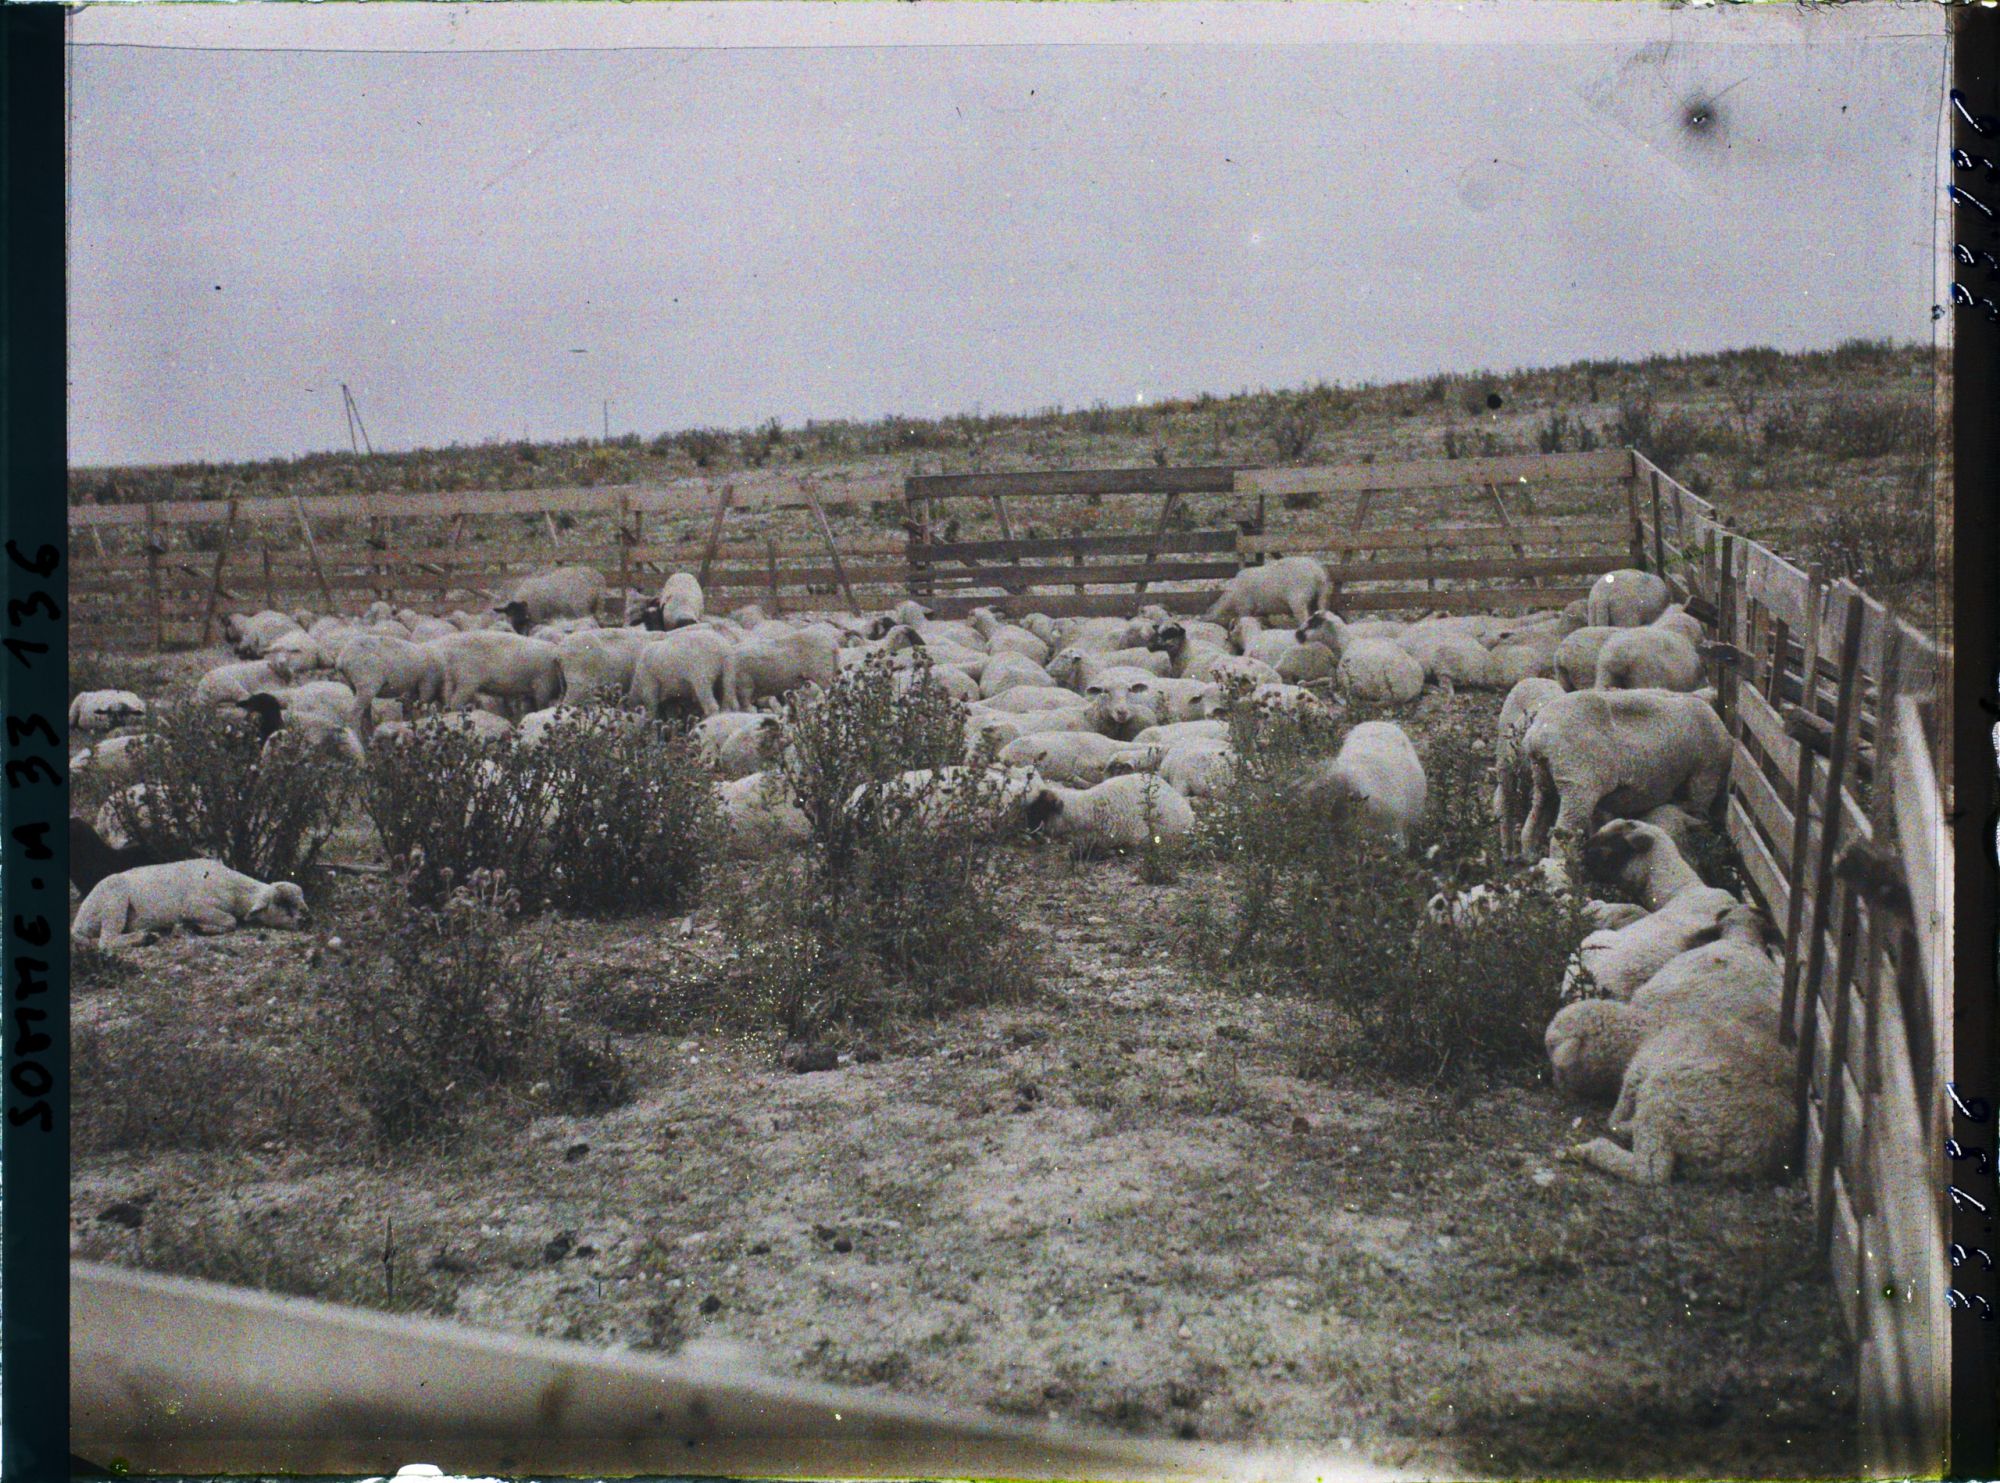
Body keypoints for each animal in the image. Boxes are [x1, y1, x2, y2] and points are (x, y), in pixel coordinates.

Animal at [71, 859, 308, 950]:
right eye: (283, 905)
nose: (307, 920)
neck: (233, 888)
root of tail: (78, 923)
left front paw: (188, 928)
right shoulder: (195, 907)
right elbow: (231, 921)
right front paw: (196, 927)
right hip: (114, 897)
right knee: (107, 940)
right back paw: (145, 937)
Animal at [1295, 612, 1425, 706]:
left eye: (1314, 623)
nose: (1297, 634)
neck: (1346, 643)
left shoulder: (1343, 678)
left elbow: (1332, 684)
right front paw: (1304, 683)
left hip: (1386, 687)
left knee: (1386, 700)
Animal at [1519, 689, 1732, 861]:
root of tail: (1537, 735)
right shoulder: (1705, 774)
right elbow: (1698, 811)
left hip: (1543, 778)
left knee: (1534, 822)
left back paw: (1531, 856)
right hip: (1578, 783)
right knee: (1563, 836)